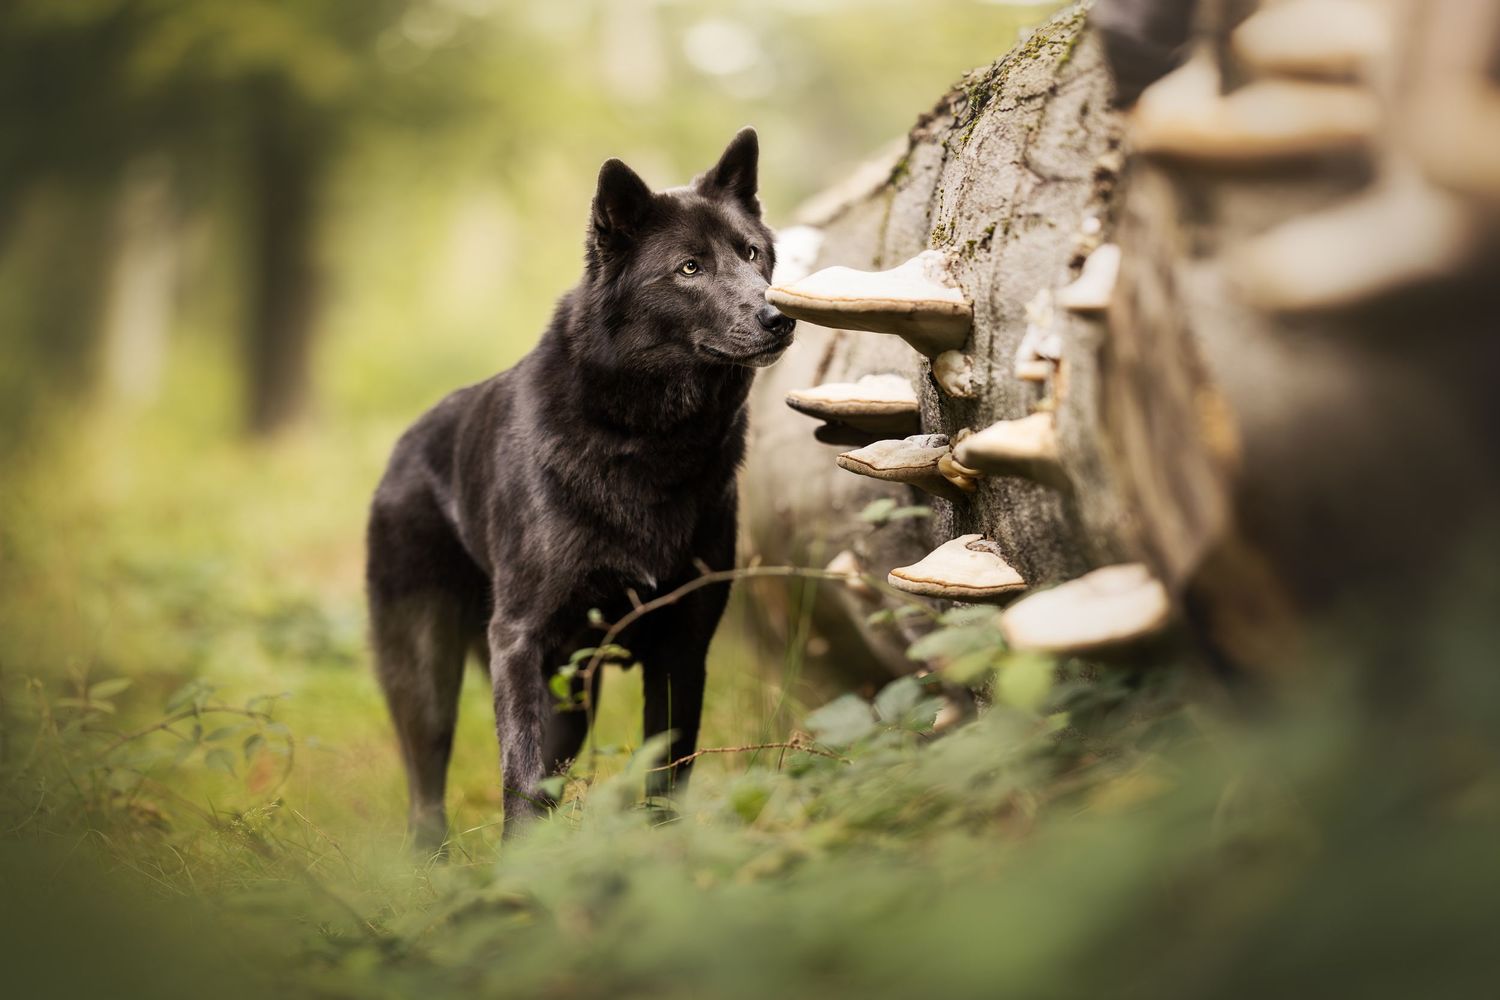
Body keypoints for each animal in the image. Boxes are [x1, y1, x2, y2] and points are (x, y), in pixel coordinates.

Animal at [365, 128, 794, 852]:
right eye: (689, 268)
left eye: (753, 254)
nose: (779, 317)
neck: (648, 445)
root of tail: (404, 450)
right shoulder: (520, 642)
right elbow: (519, 777)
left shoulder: (682, 648)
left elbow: (666, 774)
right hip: (428, 677)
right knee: (426, 791)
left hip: (573, 695)